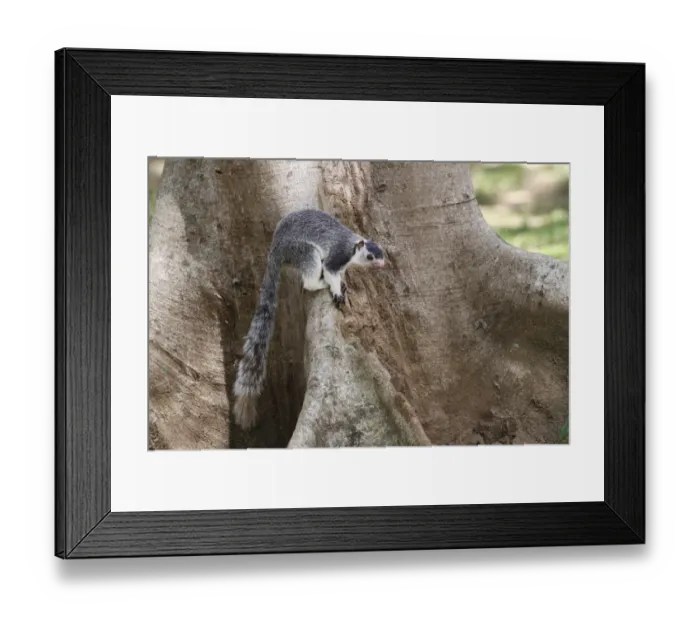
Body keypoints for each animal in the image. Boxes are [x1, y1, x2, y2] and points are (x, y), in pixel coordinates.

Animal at [232, 208, 386, 430]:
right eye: (370, 256)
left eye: (383, 254)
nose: (382, 265)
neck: (352, 244)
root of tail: (275, 251)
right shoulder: (337, 256)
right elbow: (330, 271)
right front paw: (337, 291)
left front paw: (342, 284)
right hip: (304, 252)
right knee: (309, 279)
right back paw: (318, 284)